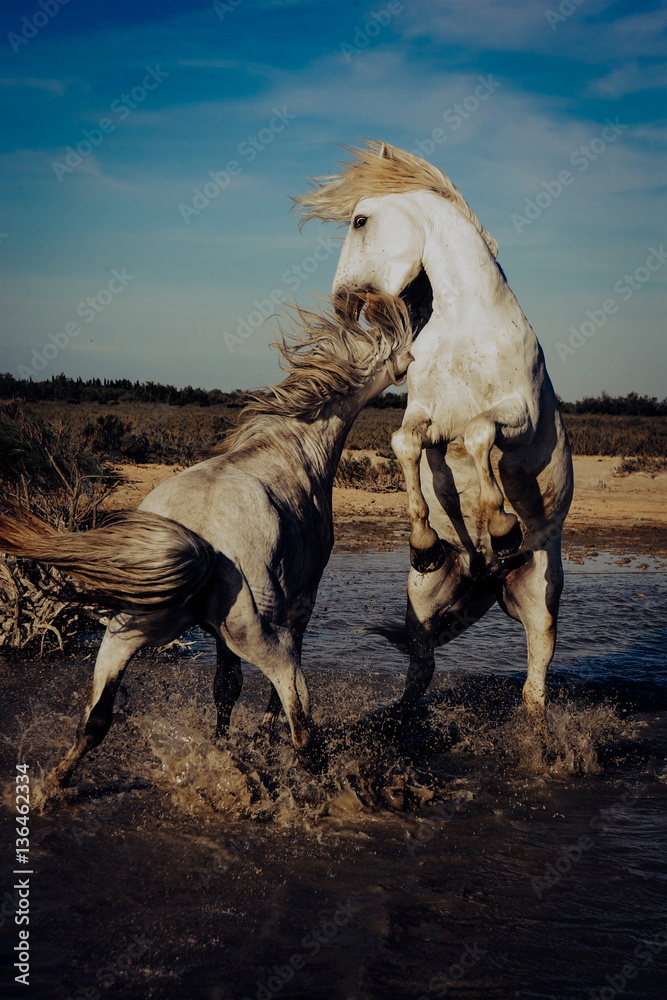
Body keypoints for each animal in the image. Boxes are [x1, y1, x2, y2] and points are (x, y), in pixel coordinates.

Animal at [0, 292, 413, 799]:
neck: (293, 445)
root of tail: (200, 540)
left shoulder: (218, 634)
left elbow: (224, 689)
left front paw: (225, 748)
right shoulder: (301, 604)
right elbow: (261, 697)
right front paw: (253, 743)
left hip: (124, 633)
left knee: (95, 720)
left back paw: (50, 787)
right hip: (263, 638)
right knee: (303, 729)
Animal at [294, 141, 573, 740]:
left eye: (359, 220)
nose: (342, 302)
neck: (468, 325)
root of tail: (486, 581)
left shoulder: (519, 414)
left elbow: (479, 432)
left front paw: (501, 526)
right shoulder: (424, 415)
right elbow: (406, 444)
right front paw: (423, 541)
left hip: (541, 604)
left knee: (534, 687)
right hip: (425, 604)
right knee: (421, 670)